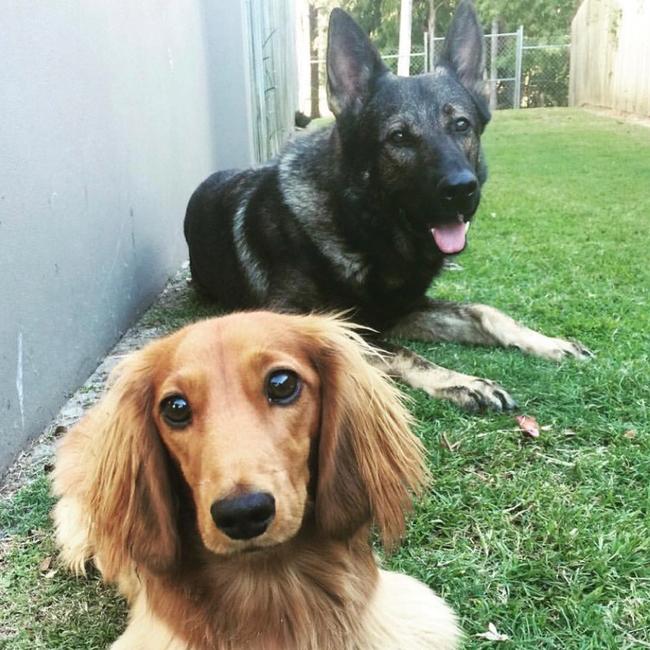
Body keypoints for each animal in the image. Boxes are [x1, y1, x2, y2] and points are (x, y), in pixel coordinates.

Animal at [182, 1, 588, 410]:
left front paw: (548, 342)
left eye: (461, 125)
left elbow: (482, 310)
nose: (462, 190)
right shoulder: (298, 320)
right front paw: (462, 380)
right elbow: (396, 351)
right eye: (399, 137)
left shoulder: (403, 310)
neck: (363, 231)